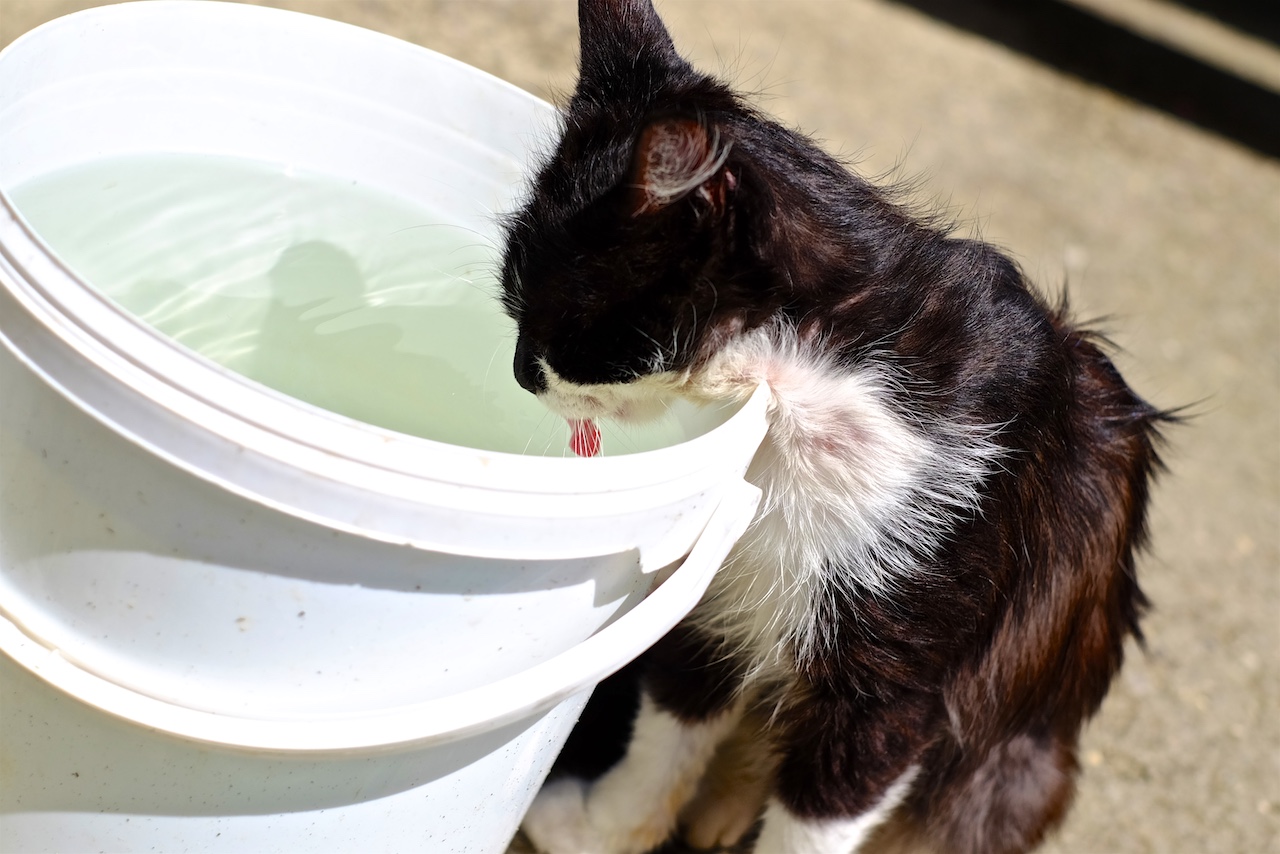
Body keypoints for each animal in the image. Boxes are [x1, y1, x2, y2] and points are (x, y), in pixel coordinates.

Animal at [498, 1, 1169, 852]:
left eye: (549, 314)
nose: (519, 371)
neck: (796, 405)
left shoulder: (897, 676)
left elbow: (821, 813)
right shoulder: (722, 599)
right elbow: (672, 723)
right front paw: (604, 828)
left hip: (1014, 766)